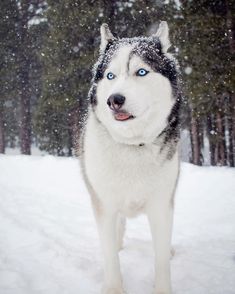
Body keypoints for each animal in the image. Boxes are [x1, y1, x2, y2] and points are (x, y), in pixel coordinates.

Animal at [81, 21, 181, 294]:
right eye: (110, 76)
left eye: (142, 72)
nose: (114, 100)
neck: (132, 145)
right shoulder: (103, 204)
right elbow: (110, 257)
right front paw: (114, 288)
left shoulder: (161, 205)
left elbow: (160, 257)